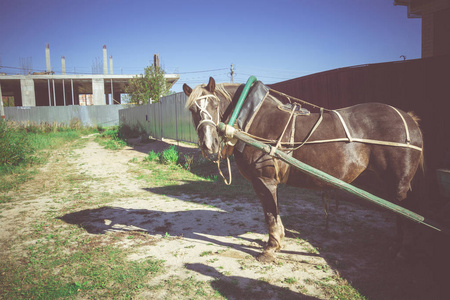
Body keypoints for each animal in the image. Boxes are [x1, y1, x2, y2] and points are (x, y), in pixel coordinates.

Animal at [182, 77, 422, 262]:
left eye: (215, 106)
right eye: (193, 110)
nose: (209, 145)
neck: (251, 117)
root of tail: (409, 119)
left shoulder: (265, 180)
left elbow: (270, 214)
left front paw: (270, 249)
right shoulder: (265, 182)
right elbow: (273, 213)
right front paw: (277, 242)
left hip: (399, 184)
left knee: (407, 211)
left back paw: (403, 251)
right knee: (399, 211)